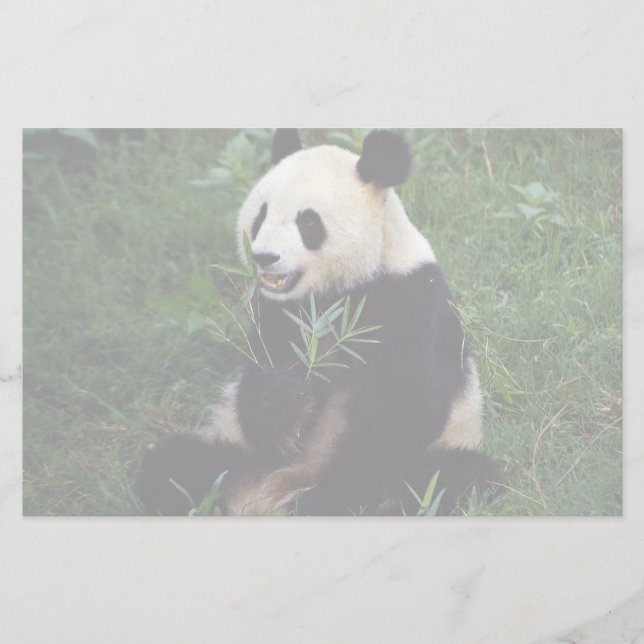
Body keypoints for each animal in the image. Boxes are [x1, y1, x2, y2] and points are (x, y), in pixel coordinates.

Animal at [136, 129, 500, 516]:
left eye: (307, 221)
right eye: (261, 215)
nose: (264, 257)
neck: (335, 293)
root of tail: (266, 495)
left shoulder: (411, 300)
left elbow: (403, 408)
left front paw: (337, 495)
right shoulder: (278, 313)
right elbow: (259, 381)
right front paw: (285, 401)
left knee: (442, 480)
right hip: (237, 453)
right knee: (174, 464)